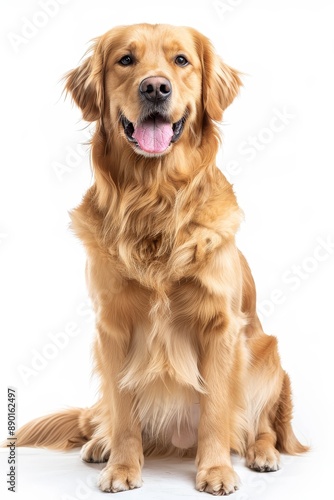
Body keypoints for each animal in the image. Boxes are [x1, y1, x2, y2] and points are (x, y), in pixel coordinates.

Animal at [16, 24, 308, 496]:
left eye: (181, 60)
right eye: (126, 60)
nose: (155, 87)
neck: (154, 200)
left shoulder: (220, 326)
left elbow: (216, 411)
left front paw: (216, 470)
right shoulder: (112, 327)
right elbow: (122, 412)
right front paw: (121, 466)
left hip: (269, 355)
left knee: (261, 424)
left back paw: (261, 454)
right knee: (107, 418)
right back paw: (99, 445)